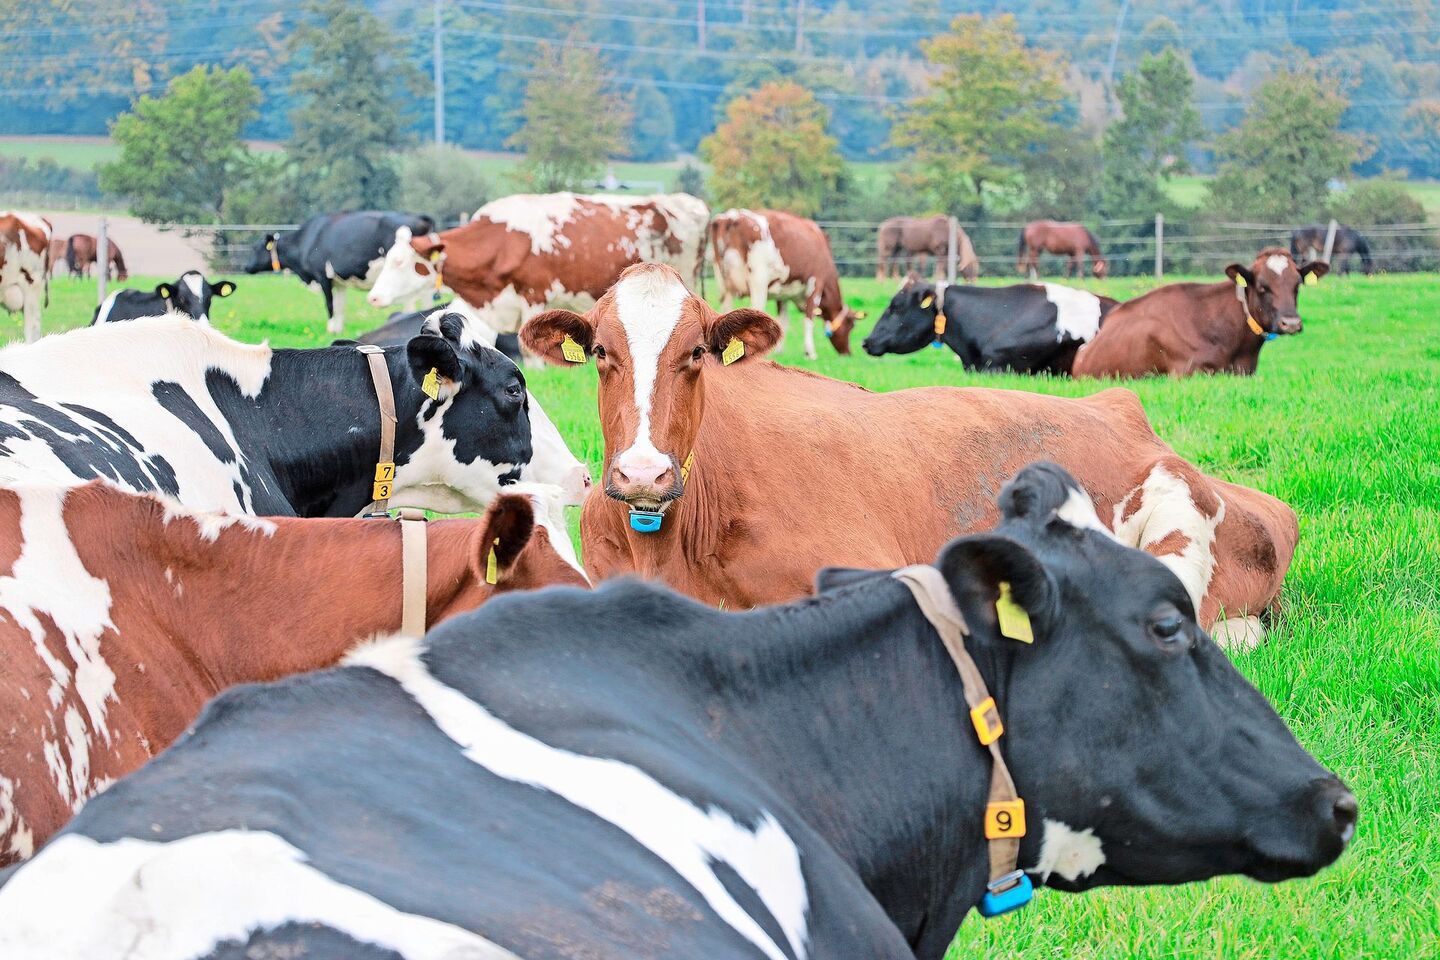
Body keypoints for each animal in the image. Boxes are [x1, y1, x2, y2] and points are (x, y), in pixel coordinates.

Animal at [243, 211, 436, 334]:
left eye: (256, 248)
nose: (245, 267)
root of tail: (419, 216)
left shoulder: (322, 276)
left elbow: (329, 305)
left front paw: (331, 330)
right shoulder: (338, 282)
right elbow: (340, 305)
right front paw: (339, 328)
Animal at [709, 208, 863, 359]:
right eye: (851, 325)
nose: (848, 353)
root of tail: (732, 216)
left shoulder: (783, 292)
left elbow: (783, 321)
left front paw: (778, 351)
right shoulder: (815, 284)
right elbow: (809, 319)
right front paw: (810, 352)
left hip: (723, 283)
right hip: (758, 280)